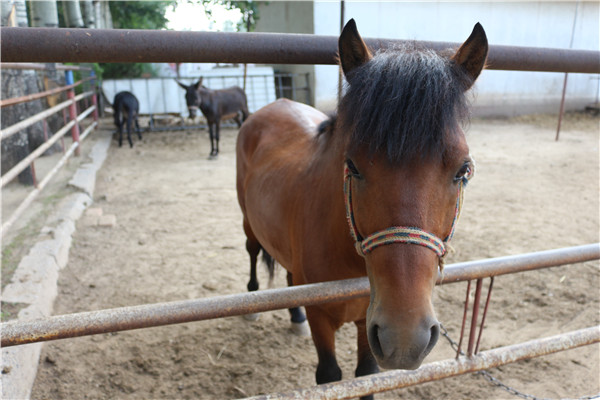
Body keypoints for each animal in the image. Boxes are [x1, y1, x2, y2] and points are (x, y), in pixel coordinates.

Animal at [236, 19, 488, 394]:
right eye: (352, 166)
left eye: (463, 170)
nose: (405, 338)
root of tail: (273, 105)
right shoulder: (323, 319)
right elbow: (330, 376)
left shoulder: (368, 326)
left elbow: (366, 376)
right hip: (247, 220)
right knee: (253, 250)